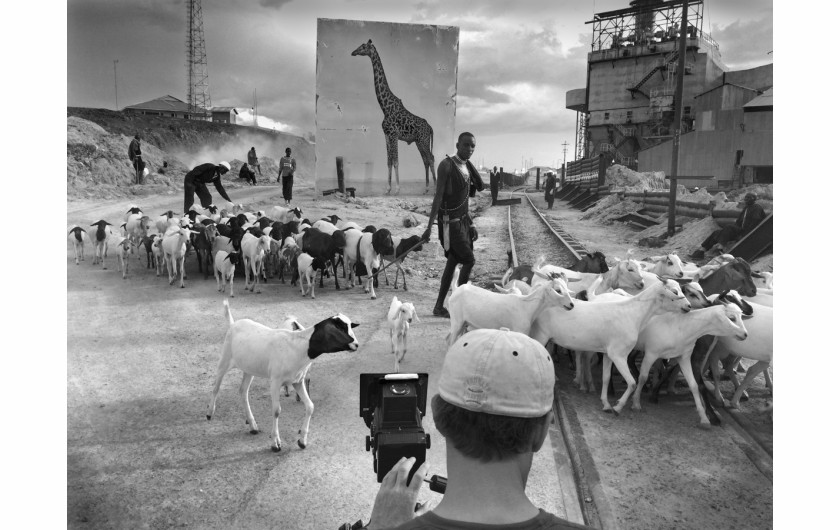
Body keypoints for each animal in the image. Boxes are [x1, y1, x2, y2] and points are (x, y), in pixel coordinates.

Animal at [208, 296, 360, 450]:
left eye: (349, 326)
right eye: (340, 327)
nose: (356, 345)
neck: (299, 346)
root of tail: (233, 324)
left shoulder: (298, 381)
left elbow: (310, 406)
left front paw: (302, 440)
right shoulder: (275, 381)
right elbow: (276, 410)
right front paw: (275, 443)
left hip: (248, 368)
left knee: (243, 391)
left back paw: (253, 425)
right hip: (225, 359)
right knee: (216, 386)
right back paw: (209, 413)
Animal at [352, 38, 436, 194]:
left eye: (363, 46)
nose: (353, 52)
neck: (385, 107)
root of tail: (430, 128)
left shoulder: (394, 134)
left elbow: (396, 161)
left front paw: (397, 189)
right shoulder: (386, 134)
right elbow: (389, 161)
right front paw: (388, 189)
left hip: (423, 140)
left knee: (431, 158)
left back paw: (435, 188)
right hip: (419, 141)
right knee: (426, 160)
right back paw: (426, 188)